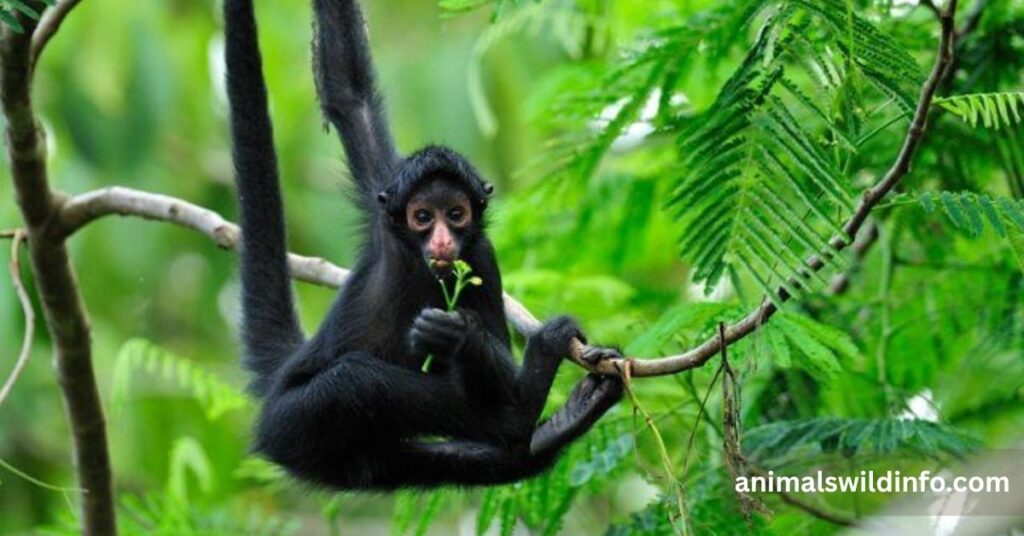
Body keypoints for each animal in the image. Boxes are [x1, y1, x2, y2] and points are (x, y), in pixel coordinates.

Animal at [223, 0, 623, 490]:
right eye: (422, 217)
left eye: (455, 214)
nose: (442, 239)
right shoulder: (386, 201)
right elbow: (348, 93)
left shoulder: (480, 257)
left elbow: (346, 90)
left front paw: (461, 336)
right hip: (291, 421)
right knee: (355, 382)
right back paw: (523, 413)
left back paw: (553, 426)